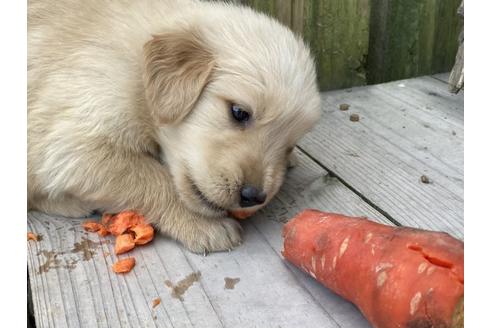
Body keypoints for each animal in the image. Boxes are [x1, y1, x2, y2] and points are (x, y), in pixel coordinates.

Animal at [26, 0, 320, 252]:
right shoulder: (72, 144)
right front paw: (202, 225)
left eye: (290, 144)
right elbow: (155, 179)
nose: (253, 196)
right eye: (239, 112)